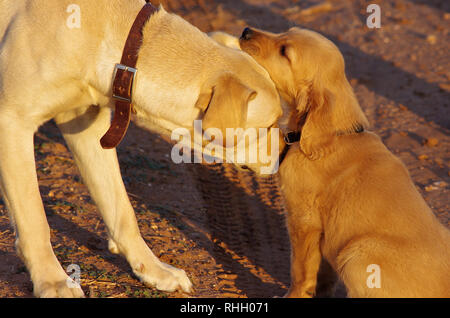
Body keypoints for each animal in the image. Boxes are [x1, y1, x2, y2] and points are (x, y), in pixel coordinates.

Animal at [0, 0, 282, 298]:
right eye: (269, 124)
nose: (287, 152)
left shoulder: (85, 123)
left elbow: (122, 209)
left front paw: (153, 270)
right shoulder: (12, 122)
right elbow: (34, 220)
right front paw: (53, 281)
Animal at [215, 28, 450, 298]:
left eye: (285, 51)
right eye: (285, 32)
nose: (246, 31)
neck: (334, 136)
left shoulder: (303, 220)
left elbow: (300, 272)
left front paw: (294, 295)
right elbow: (323, 275)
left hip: (357, 253)